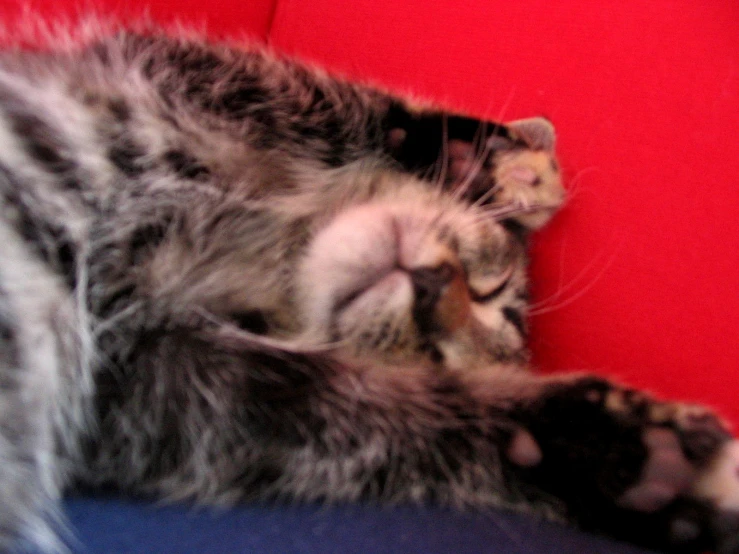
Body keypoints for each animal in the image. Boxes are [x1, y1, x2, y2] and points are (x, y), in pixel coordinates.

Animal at [1, 23, 739, 548]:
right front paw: (490, 166)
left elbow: (357, 410)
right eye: (491, 286)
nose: (433, 287)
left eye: (438, 351)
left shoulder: (141, 389)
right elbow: (341, 102)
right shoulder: (184, 72)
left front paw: (612, 457)